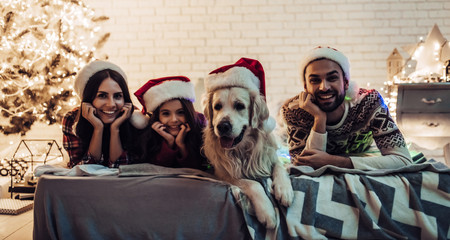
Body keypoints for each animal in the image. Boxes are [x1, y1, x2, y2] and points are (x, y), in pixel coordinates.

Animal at [202, 86, 294, 229]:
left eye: (240, 106)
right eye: (217, 106)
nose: (222, 126)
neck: (241, 150)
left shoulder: (272, 158)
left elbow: (279, 168)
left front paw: (284, 190)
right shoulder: (223, 173)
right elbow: (253, 183)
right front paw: (266, 211)